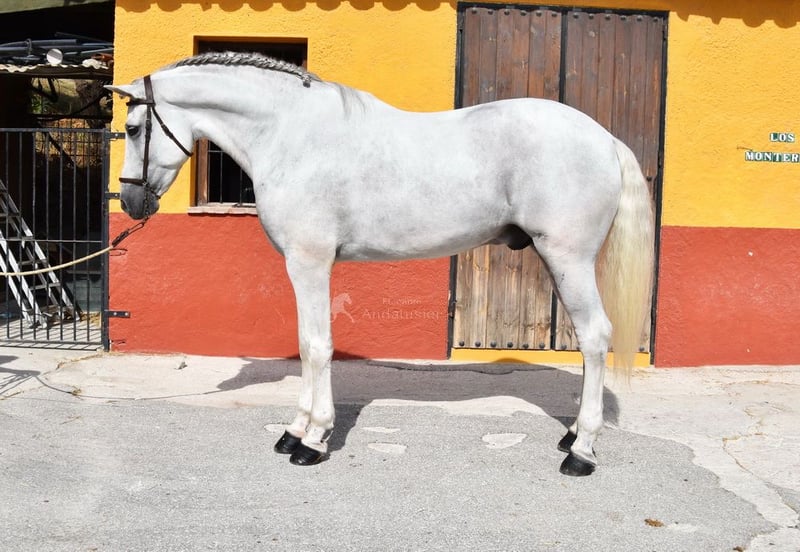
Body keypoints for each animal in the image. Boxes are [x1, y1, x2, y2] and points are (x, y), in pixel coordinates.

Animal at [106, 51, 654, 476]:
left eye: (131, 129)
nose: (130, 203)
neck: (290, 134)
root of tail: (604, 138)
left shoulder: (309, 263)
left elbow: (316, 347)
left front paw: (313, 440)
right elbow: (306, 344)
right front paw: (294, 431)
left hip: (568, 259)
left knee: (595, 338)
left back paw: (581, 452)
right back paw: (571, 436)